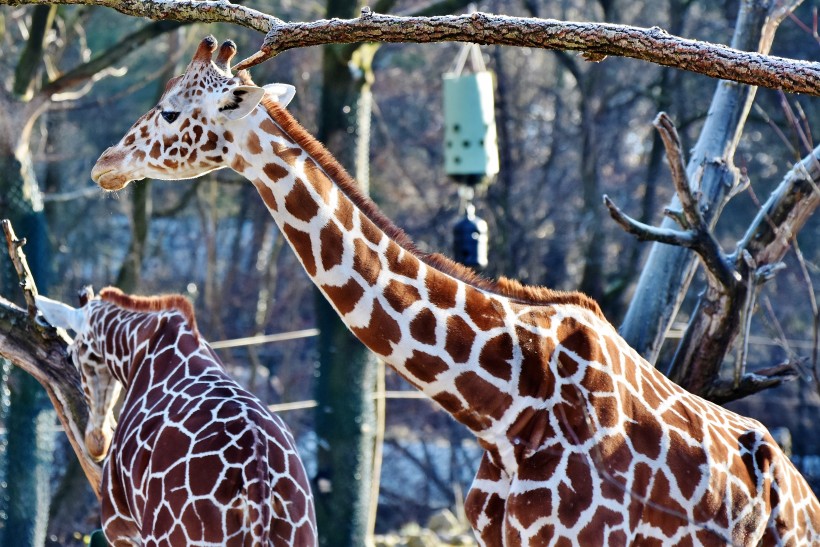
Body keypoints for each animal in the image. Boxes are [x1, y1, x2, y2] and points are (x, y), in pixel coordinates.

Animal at [36, 288, 318, 544]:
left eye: (71, 355)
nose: (96, 443)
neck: (141, 344)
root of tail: (256, 475)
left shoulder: (119, 526)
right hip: (301, 535)